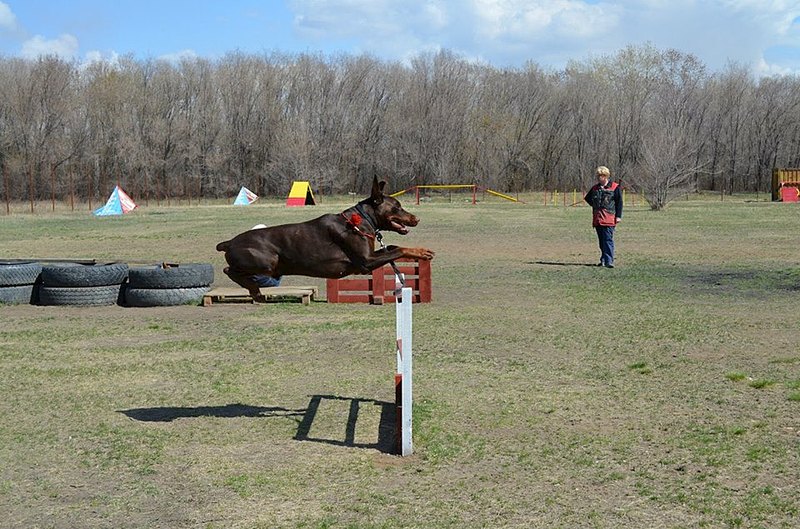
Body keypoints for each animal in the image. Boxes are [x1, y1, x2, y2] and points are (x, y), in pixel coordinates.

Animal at [216, 177, 434, 302]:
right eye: (397, 207)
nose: (417, 219)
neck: (361, 220)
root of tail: (229, 242)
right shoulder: (365, 262)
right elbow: (398, 249)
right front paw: (422, 251)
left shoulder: (370, 256)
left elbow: (394, 246)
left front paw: (420, 251)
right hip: (267, 262)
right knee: (229, 270)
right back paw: (254, 289)